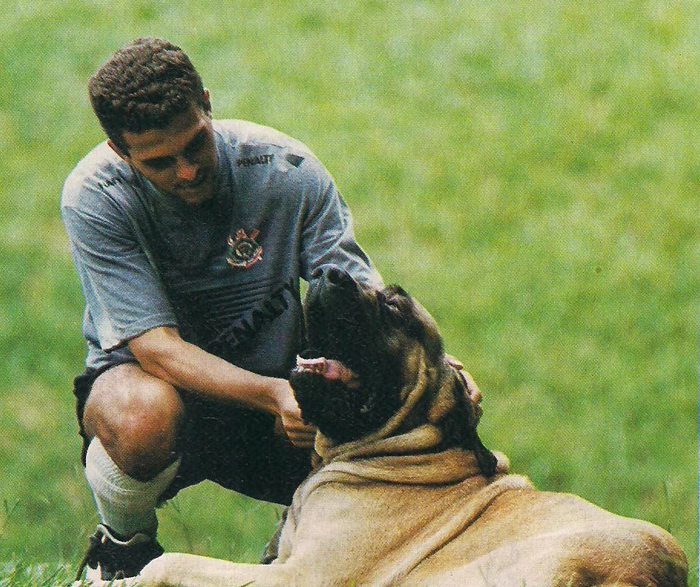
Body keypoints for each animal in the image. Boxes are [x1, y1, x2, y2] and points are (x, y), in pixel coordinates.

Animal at [83, 268, 688, 587]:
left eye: (395, 309)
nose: (329, 274)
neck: (396, 448)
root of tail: (650, 574)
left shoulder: (299, 578)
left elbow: (173, 561)